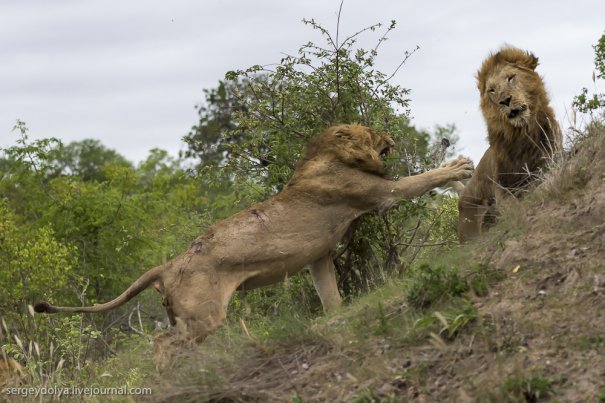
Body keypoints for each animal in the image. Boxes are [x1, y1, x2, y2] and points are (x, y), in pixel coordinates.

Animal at [35, 124, 474, 362]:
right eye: (371, 131)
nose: (393, 136)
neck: (325, 155)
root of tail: (168, 263)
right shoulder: (380, 194)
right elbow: (420, 179)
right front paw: (459, 166)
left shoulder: (319, 256)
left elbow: (330, 296)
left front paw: (338, 320)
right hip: (204, 315)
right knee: (161, 343)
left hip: (187, 315)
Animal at [458, 47, 560, 243]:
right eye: (492, 90)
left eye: (511, 78)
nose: (505, 100)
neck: (522, 135)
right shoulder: (502, 188)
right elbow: (512, 205)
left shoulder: (549, 162)